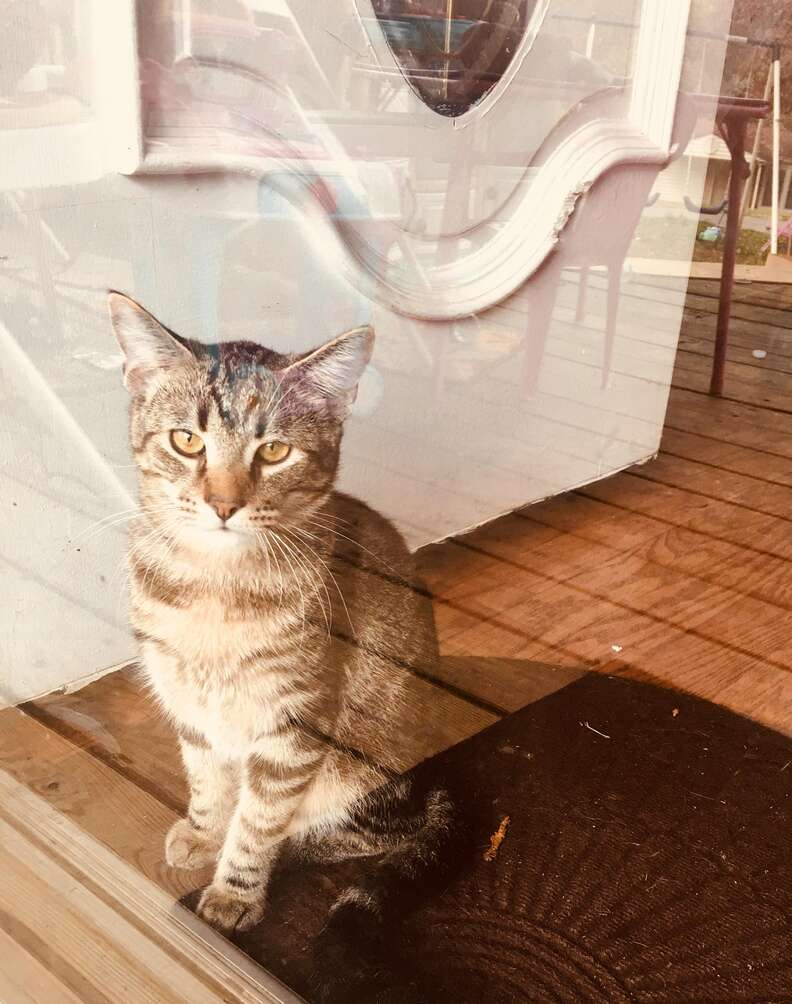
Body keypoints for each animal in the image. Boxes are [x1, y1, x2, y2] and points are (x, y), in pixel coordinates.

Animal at [107, 293, 447, 939]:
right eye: (186, 441)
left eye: (274, 450)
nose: (222, 505)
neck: (212, 584)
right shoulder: (186, 700)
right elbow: (205, 776)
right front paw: (202, 830)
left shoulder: (294, 723)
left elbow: (258, 821)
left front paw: (233, 891)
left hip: (357, 775)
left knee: (371, 837)